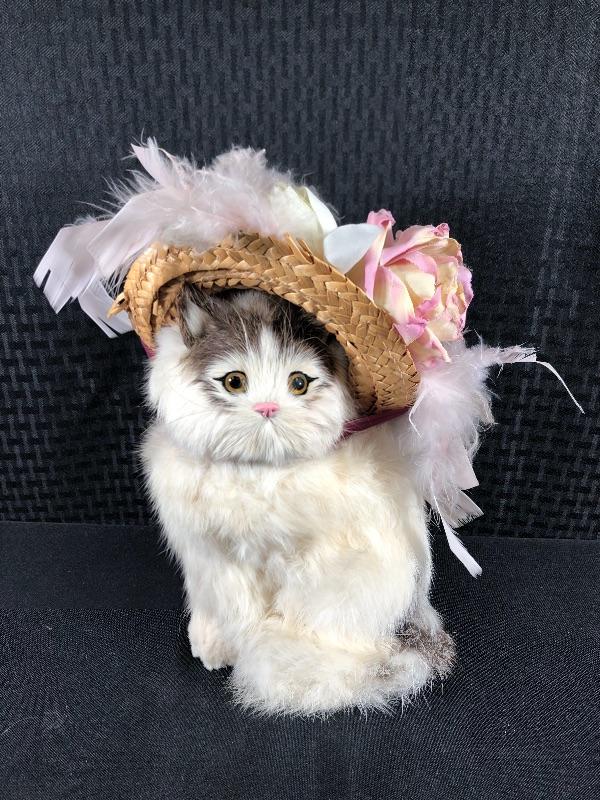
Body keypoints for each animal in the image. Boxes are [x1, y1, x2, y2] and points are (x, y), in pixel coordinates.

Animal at [141, 286, 454, 715]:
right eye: (234, 382)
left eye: (299, 383)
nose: (267, 408)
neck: (255, 472)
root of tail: (418, 615)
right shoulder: (213, 559)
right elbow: (226, 607)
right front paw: (214, 646)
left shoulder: (290, 562)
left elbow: (256, 621)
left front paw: (250, 649)